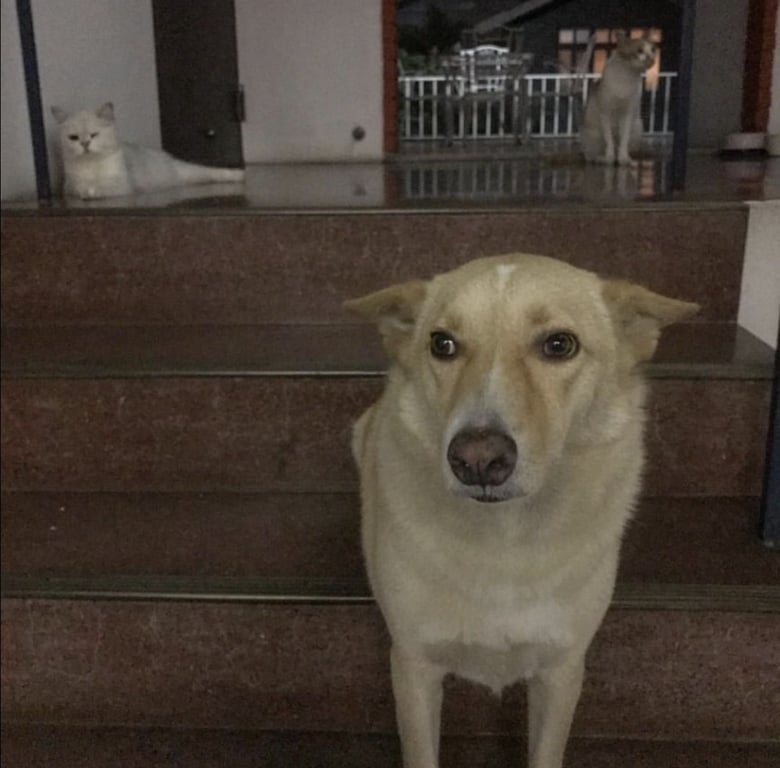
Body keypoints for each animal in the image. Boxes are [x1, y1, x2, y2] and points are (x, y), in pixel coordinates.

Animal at [51, 102, 245, 200]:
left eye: (94, 135)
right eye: (73, 138)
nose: (84, 144)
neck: (92, 164)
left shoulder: (123, 183)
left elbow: (105, 186)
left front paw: (93, 191)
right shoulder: (69, 185)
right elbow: (78, 187)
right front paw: (86, 190)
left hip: (186, 172)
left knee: (211, 172)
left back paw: (238, 175)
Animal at [344, 254, 697, 768]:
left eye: (559, 344)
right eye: (442, 344)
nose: (476, 459)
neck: (505, 539)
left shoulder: (562, 670)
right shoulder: (413, 667)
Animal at [581, 32, 656, 165]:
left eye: (653, 50)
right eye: (639, 51)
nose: (651, 59)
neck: (626, 76)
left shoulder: (628, 113)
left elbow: (624, 140)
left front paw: (624, 159)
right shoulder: (605, 113)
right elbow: (609, 140)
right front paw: (609, 158)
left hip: (637, 126)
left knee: (626, 146)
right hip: (591, 133)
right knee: (591, 153)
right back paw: (599, 158)